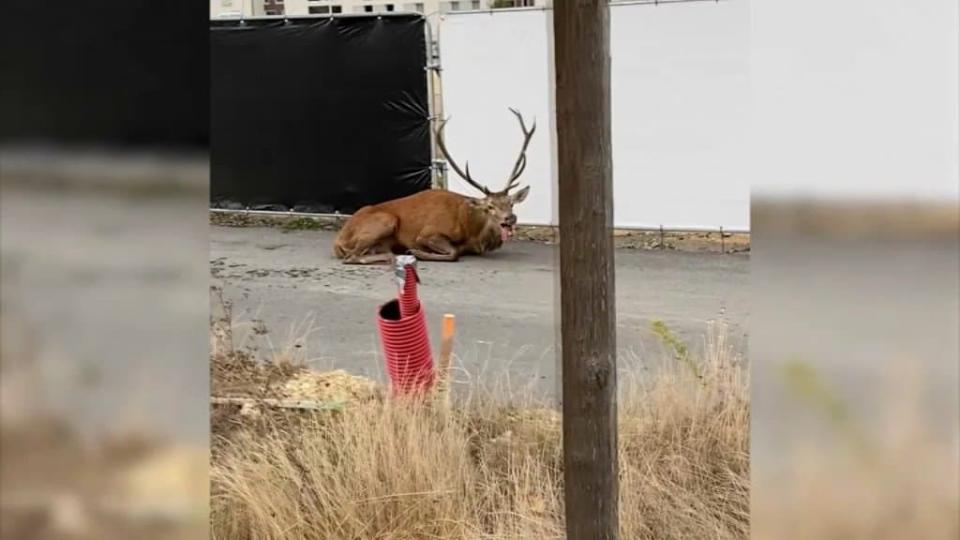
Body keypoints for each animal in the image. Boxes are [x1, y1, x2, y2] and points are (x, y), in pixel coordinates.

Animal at [334, 107, 536, 264]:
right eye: (489, 207)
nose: (510, 218)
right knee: (352, 257)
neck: (471, 230)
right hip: (385, 220)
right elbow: (453, 253)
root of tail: (338, 240)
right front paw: (416, 252)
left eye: (511, 203)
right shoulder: (428, 232)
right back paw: (394, 256)